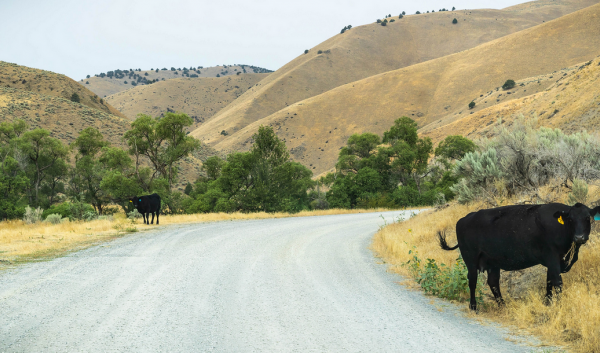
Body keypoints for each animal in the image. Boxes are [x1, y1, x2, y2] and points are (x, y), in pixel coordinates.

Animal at [438, 202, 596, 310]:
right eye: (570, 219)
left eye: (588, 218)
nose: (579, 237)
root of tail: (464, 219)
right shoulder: (552, 258)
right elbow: (557, 282)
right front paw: (558, 306)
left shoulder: (554, 262)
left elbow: (549, 281)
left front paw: (547, 303)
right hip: (470, 260)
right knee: (472, 281)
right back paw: (473, 307)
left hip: (492, 262)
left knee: (493, 282)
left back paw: (503, 305)